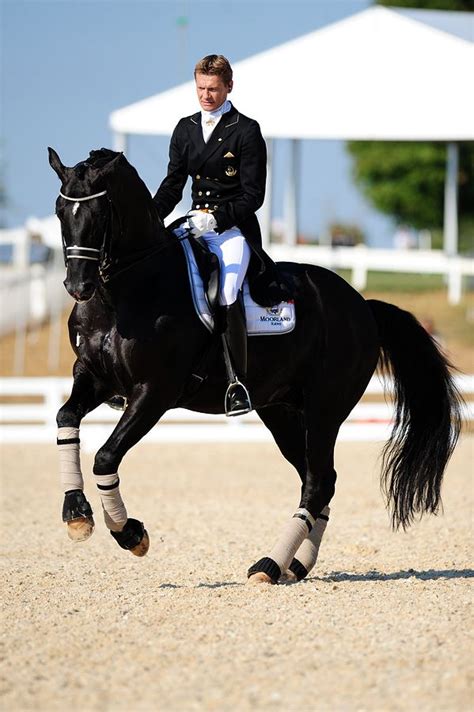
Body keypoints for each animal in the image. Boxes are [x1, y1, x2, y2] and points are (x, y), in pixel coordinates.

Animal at [49, 149, 462, 584]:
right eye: (60, 210)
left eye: (100, 213)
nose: (78, 287)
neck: (127, 293)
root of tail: (362, 306)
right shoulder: (93, 377)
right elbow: (65, 418)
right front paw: (76, 514)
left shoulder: (153, 392)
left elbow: (106, 457)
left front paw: (130, 534)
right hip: (279, 411)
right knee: (319, 480)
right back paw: (296, 564)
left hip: (324, 409)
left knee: (318, 482)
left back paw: (269, 564)